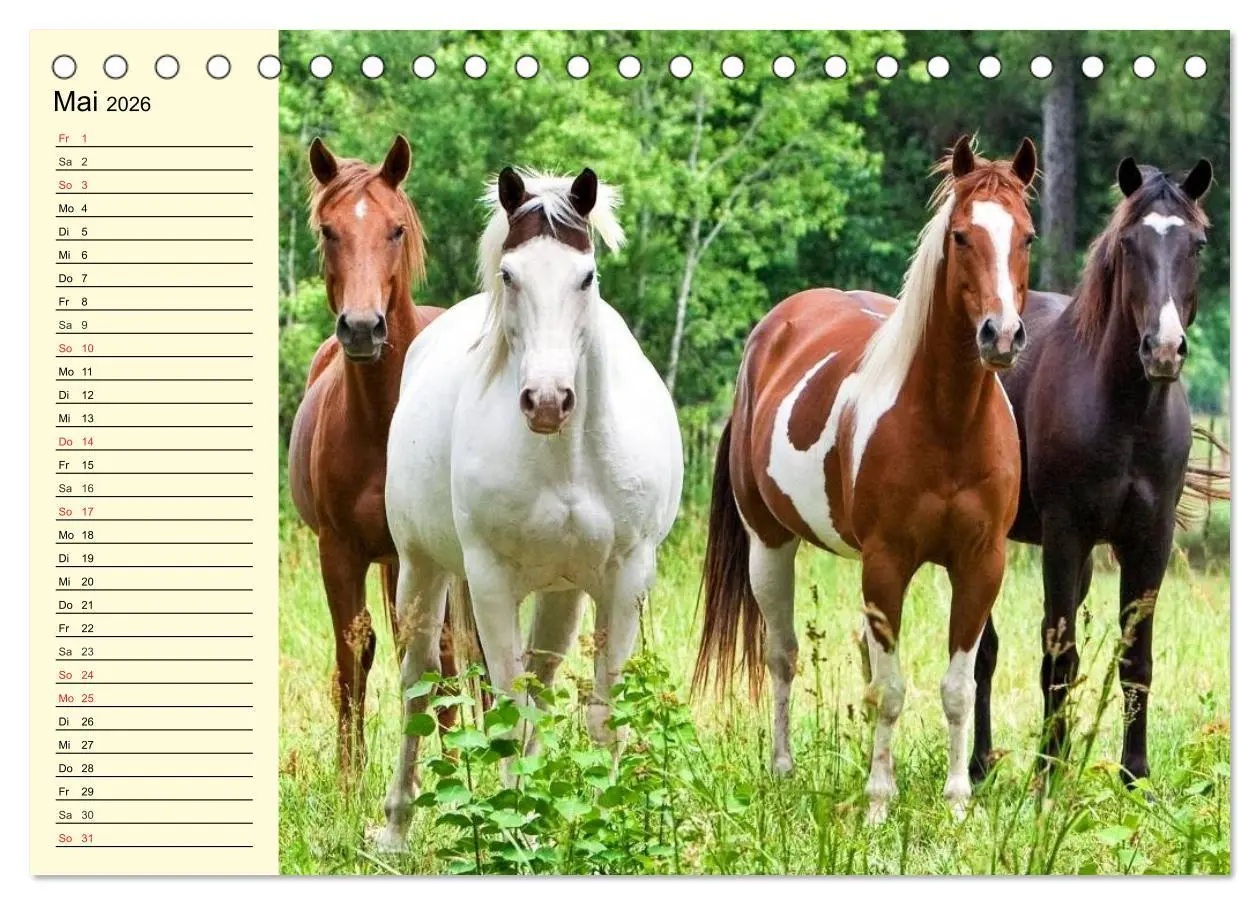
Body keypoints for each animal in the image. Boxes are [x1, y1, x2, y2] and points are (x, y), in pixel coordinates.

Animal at [288, 135, 457, 772]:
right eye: (329, 230)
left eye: (396, 230)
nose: (362, 328)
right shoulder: (339, 552)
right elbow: (353, 654)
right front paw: (349, 776)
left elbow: (441, 656)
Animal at [371, 167, 684, 851]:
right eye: (509, 274)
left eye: (586, 276)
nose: (546, 400)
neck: (565, 459)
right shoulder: (489, 581)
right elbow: (507, 711)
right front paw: (515, 830)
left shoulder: (625, 579)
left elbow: (599, 714)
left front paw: (601, 824)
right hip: (421, 568)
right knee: (416, 684)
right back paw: (396, 828)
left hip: (562, 593)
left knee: (539, 686)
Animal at [695, 136, 1038, 823]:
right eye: (961, 235)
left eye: (1027, 236)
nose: (1002, 335)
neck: (948, 423)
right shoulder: (886, 564)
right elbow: (892, 689)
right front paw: (880, 802)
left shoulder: (981, 565)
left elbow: (956, 687)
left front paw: (958, 802)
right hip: (768, 545)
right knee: (782, 656)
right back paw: (782, 768)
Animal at [969, 157, 1220, 787]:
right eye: (1129, 244)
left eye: (1197, 244)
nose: (1163, 349)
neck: (1124, 412)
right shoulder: (1065, 535)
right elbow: (1058, 657)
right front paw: (1049, 777)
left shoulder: (1149, 541)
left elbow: (1136, 660)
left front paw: (1135, 777)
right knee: (983, 650)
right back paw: (980, 765)